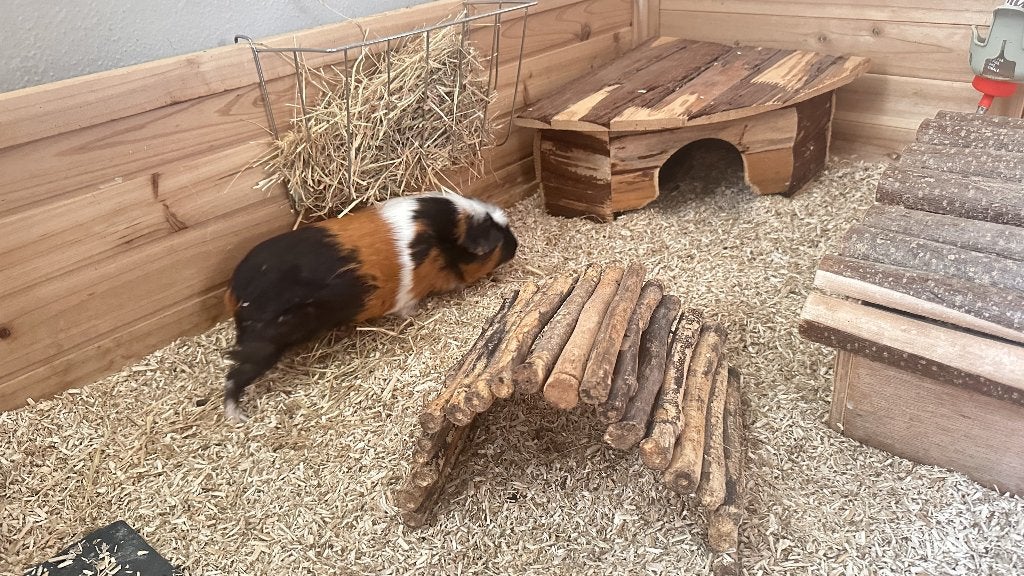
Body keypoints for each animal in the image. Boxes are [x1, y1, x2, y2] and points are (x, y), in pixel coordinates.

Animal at [222, 191, 517, 422]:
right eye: (498, 237)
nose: (516, 244)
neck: (436, 240)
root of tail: (235, 293)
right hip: (263, 348)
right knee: (234, 377)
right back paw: (237, 415)